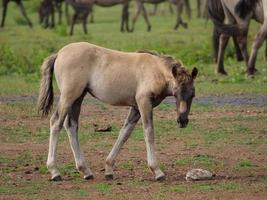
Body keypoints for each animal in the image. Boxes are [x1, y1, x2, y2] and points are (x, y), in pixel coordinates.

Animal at [38, 42, 199, 181]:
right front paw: (157, 171)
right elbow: (149, 132)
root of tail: (59, 53)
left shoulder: (136, 107)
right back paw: (55, 172)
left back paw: (85, 171)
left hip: (78, 97)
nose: (182, 120)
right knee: (56, 122)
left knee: (71, 125)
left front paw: (109, 169)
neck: (154, 70)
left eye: (192, 95)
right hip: (69, 96)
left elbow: (124, 133)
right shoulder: (144, 102)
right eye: (176, 93)